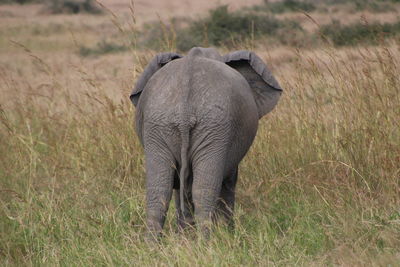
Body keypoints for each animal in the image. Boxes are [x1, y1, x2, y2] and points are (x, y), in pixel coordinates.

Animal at [130, 46, 282, 241]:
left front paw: (185, 238)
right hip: (213, 126)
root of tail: (185, 108)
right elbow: (229, 181)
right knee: (204, 189)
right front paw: (227, 233)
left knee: (160, 190)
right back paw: (207, 243)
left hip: (161, 125)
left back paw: (153, 244)